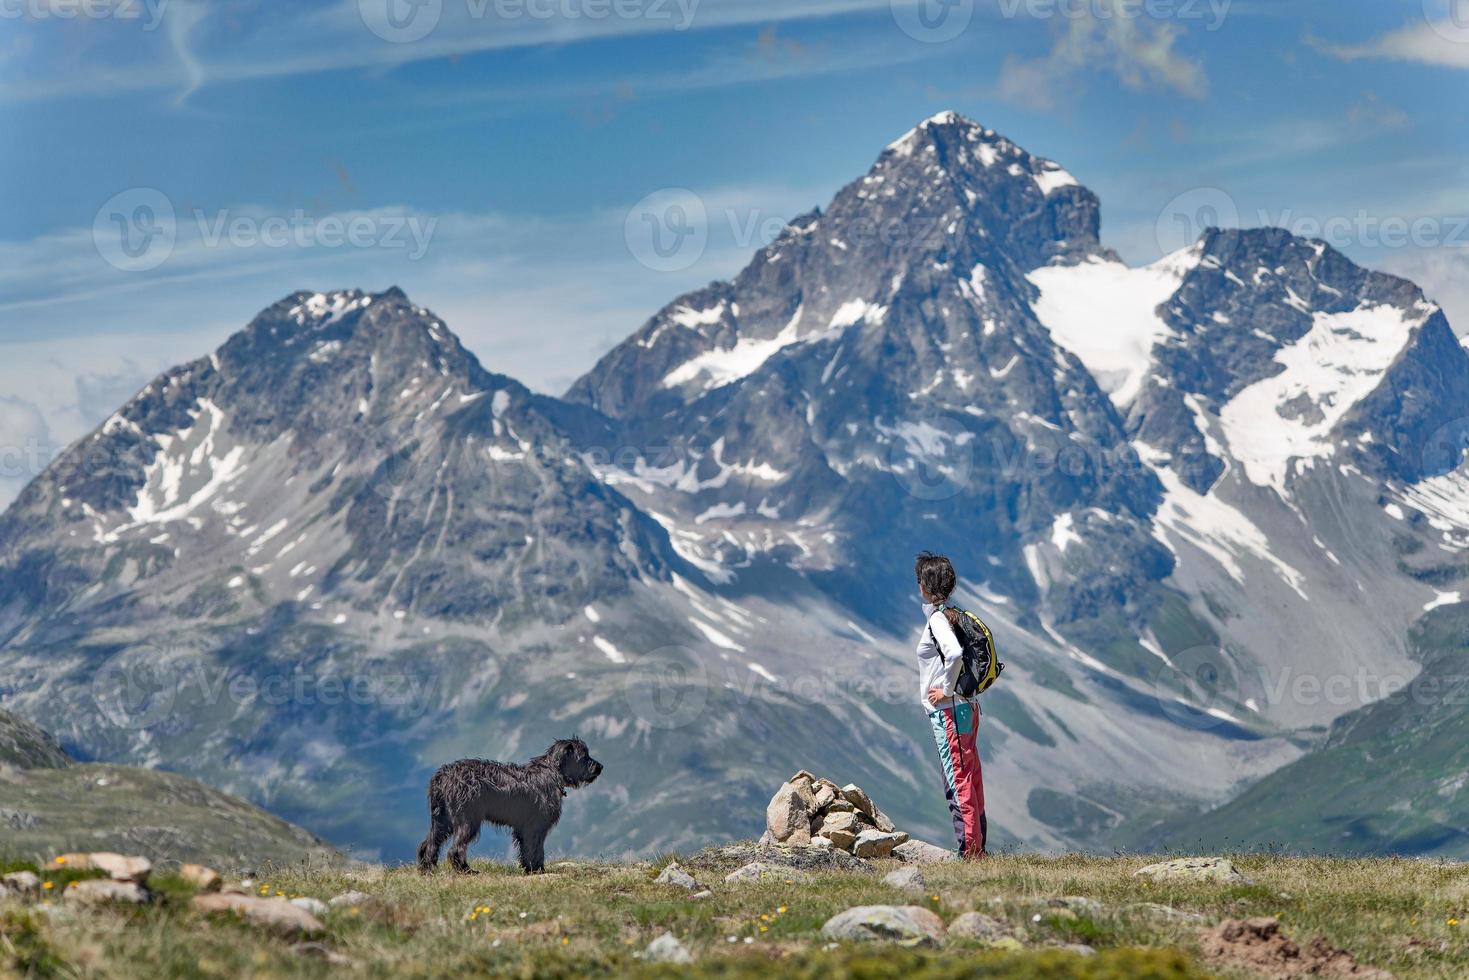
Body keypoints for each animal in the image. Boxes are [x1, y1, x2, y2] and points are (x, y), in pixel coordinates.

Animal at [414, 734, 602, 875]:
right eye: (584, 756)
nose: (600, 767)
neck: (551, 772)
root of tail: (442, 776)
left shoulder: (524, 828)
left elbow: (526, 850)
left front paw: (529, 869)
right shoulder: (535, 826)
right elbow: (536, 849)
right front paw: (538, 870)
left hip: (443, 820)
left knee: (428, 844)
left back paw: (427, 870)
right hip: (467, 820)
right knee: (455, 849)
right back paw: (465, 870)